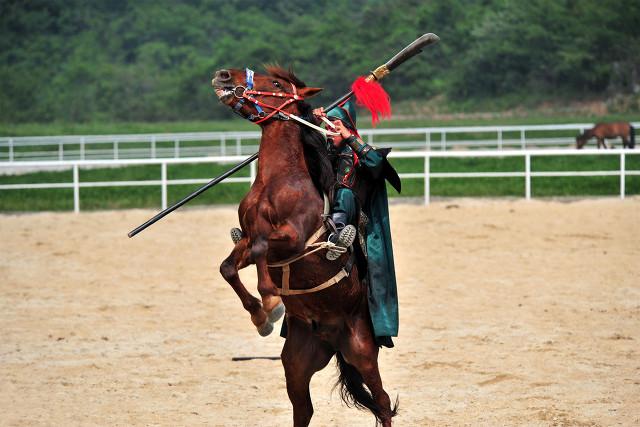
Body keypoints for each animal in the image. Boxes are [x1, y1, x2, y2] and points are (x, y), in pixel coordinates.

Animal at [212, 65, 398, 426]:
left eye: (276, 83)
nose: (224, 76)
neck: (278, 182)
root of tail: (332, 338)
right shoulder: (249, 238)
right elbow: (228, 266)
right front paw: (259, 314)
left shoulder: (293, 238)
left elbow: (261, 248)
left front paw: (270, 301)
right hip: (297, 366)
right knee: (304, 409)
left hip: (363, 353)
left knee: (382, 402)